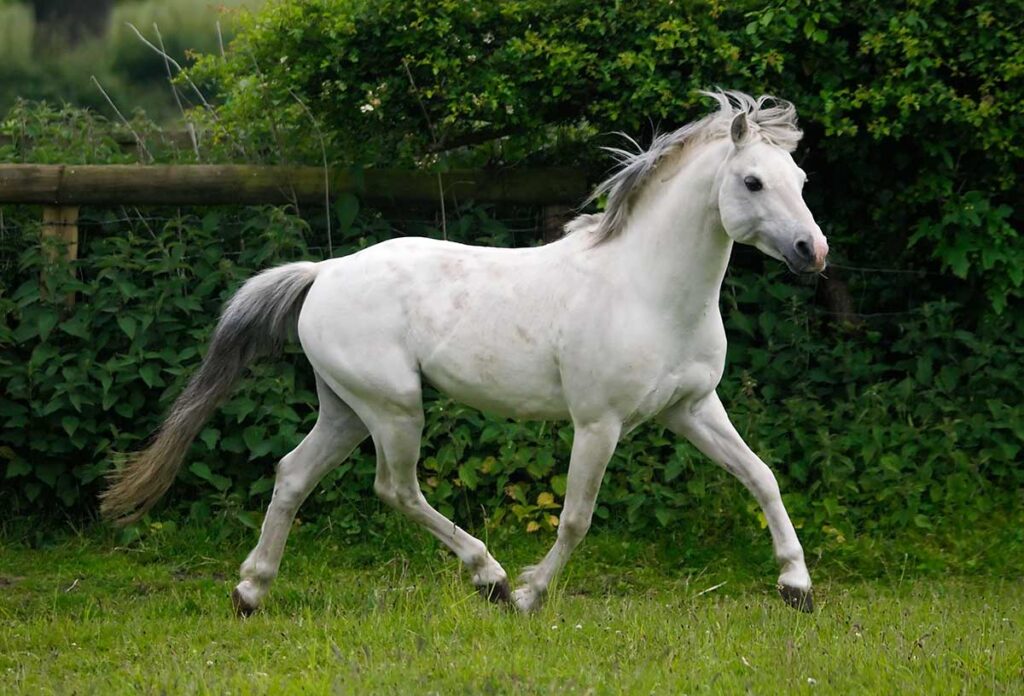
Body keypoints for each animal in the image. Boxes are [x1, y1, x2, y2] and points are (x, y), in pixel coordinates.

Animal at [101, 90, 828, 616]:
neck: (647, 290)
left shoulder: (692, 407)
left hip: (346, 409)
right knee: (394, 488)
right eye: (753, 182)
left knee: (292, 475)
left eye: (800, 177)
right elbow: (576, 517)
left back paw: (251, 592)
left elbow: (761, 476)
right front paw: (531, 594)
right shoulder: (598, 423)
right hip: (394, 409)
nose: (812, 252)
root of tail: (324, 272)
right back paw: (490, 576)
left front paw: (796, 586)